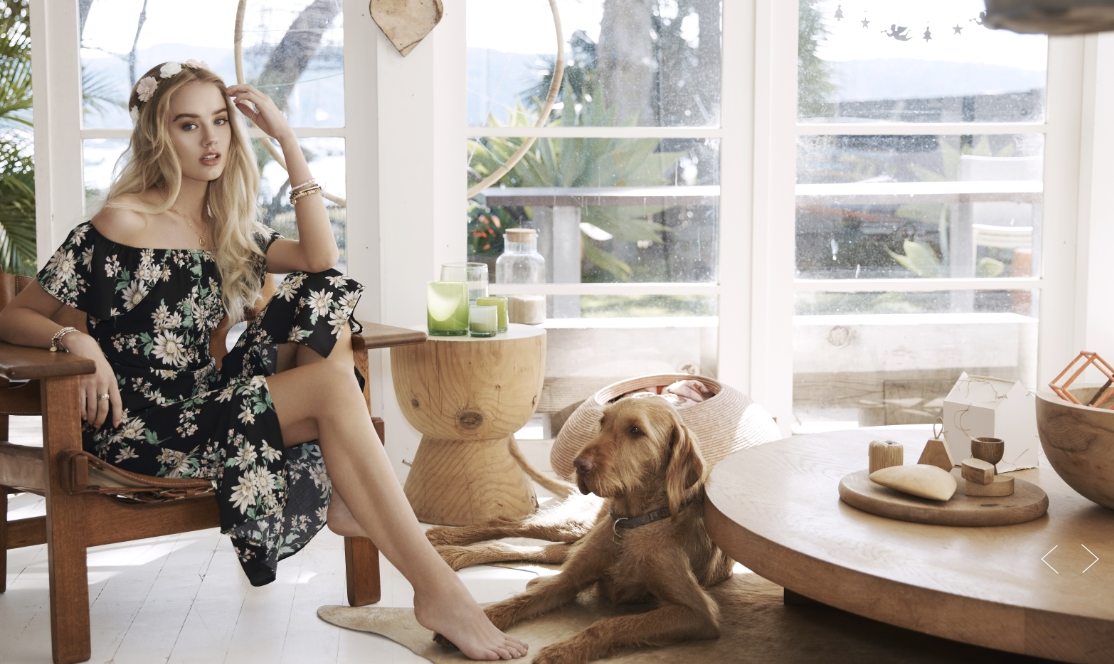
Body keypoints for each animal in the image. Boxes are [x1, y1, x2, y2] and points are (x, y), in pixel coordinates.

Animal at [436, 396, 734, 663]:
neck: (631, 522)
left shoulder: (696, 612)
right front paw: (477, 624)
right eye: (602, 423)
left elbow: (610, 624)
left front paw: (563, 651)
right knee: (509, 525)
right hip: (573, 527)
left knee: (534, 549)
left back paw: (454, 553)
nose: (578, 465)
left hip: (575, 538)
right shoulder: (569, 581)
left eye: (635, 430)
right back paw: (444, 541)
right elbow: (520, 600)